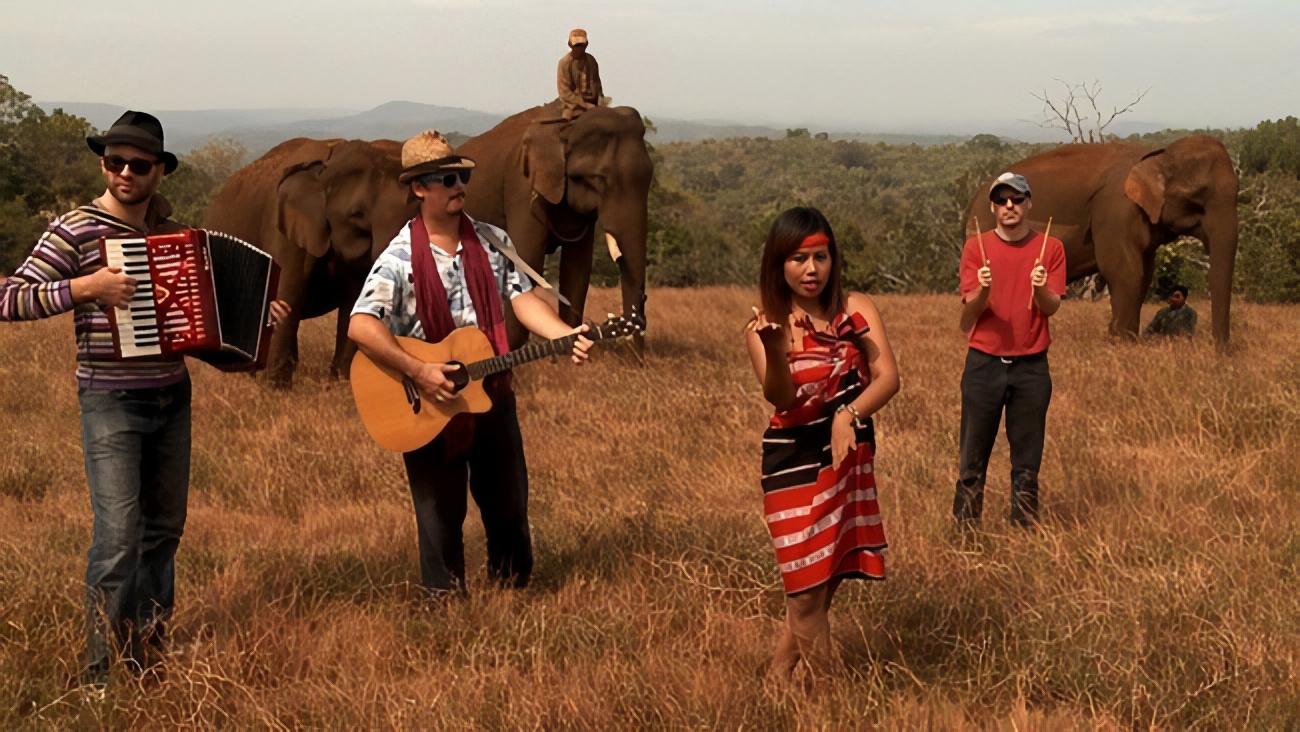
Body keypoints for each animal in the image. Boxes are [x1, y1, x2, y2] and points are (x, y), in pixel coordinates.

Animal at [205, 139, 413, 390]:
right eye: (357, 215)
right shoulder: (284, 230)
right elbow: (289, 294)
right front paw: (276, 390)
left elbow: (354, 301)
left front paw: (341, 386)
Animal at [462, 98, 655, 348]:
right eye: (599, 179)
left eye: (650, 177)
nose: (633, 326)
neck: (565, 126)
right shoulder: (522, 187)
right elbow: (527, 260)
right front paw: (511, 350)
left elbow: (577, 268)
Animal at [967, 134, 1237, 345]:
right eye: (1197, 200)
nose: (1220, 352)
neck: (1157, 155)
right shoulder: (1116, 211)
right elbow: (1126, 272)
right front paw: (1122, 343)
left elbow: (1144, 275)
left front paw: (1122, 339)